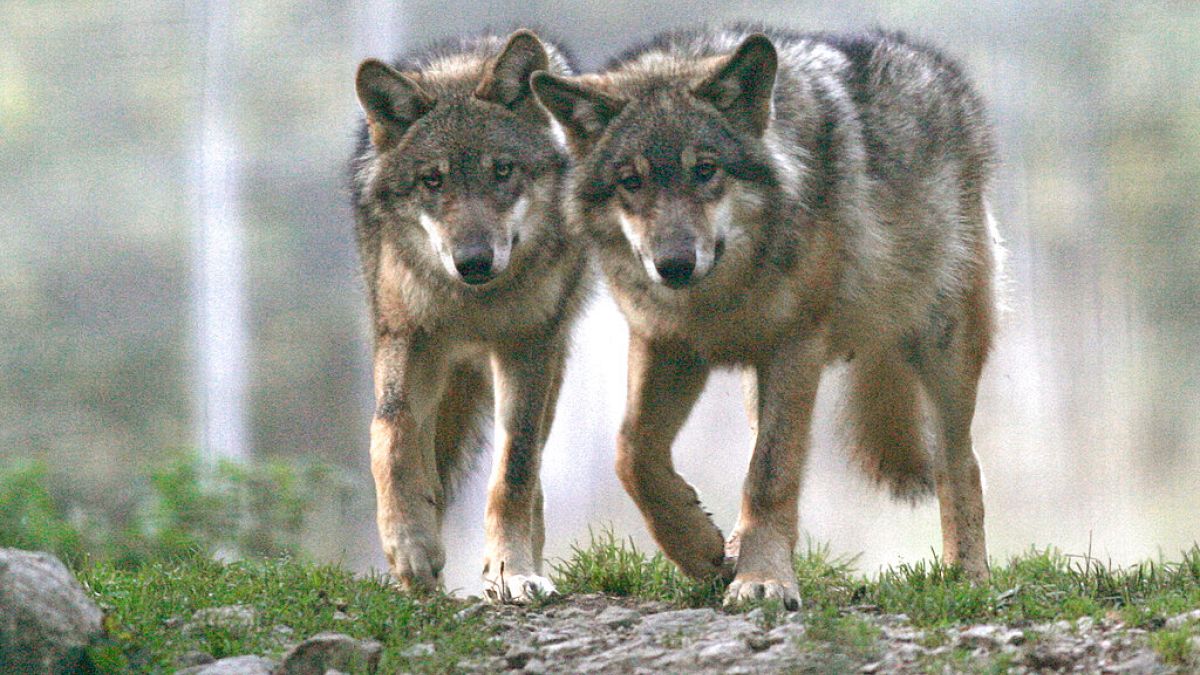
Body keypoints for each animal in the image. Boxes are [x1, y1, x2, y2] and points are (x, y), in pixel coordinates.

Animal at [350, 30, 587, 602]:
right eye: (432, 181)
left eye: (502, 170)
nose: (474, 261)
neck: (473, 303)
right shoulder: (405, 336)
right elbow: (389, 433)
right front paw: (410, 547)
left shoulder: (528, 347)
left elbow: (516, 467)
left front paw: (511, 570)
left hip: (551, 362)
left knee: (532, 466)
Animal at [532, 25, 1001, 609]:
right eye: (631, 181)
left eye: (705, 170)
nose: (674, 264)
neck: (717, 298)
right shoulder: (667, 344)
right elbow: (632, 454)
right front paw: (700, 549)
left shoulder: (794, 346)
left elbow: (770, 473)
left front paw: (764, 580)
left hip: (941, 347)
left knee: (961, 463)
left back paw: (969, 576)